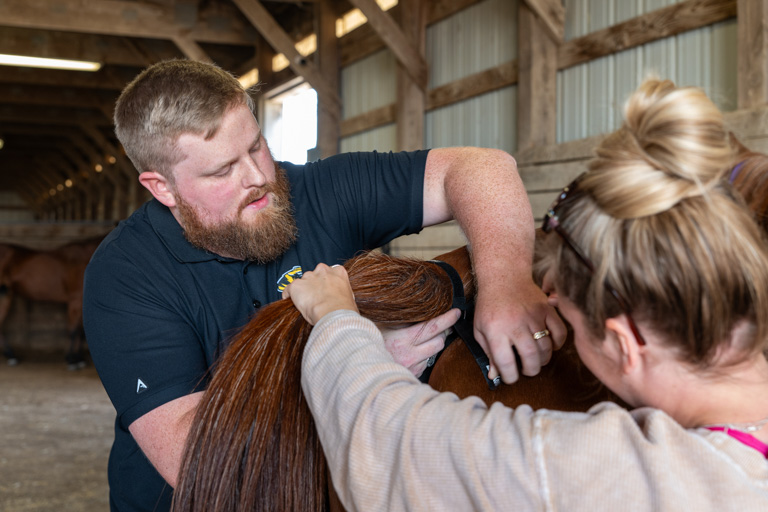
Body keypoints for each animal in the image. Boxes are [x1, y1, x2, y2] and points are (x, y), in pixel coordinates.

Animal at [0, 237, 103, 368]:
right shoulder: (75, 301)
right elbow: (73, 331)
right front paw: (71, 360)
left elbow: (80, 331)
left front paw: (79, 358)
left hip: (5, 295)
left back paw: (11, 355)